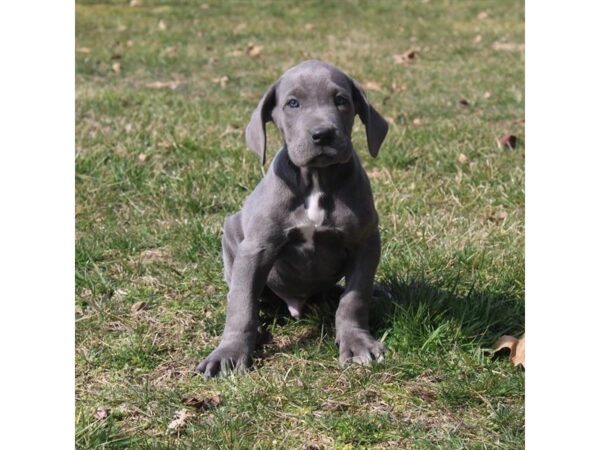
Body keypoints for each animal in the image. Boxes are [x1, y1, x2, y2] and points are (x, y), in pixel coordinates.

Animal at [197, 59, 390, 376]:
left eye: (341, 100)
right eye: (293, 103)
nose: (322, 134)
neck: (316, 180)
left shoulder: (366, 242)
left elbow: (354, 297)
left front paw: (357, 342)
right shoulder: (256, 249)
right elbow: (242, 305)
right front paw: (229, 353)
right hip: (231, 235)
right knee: (240, 295)